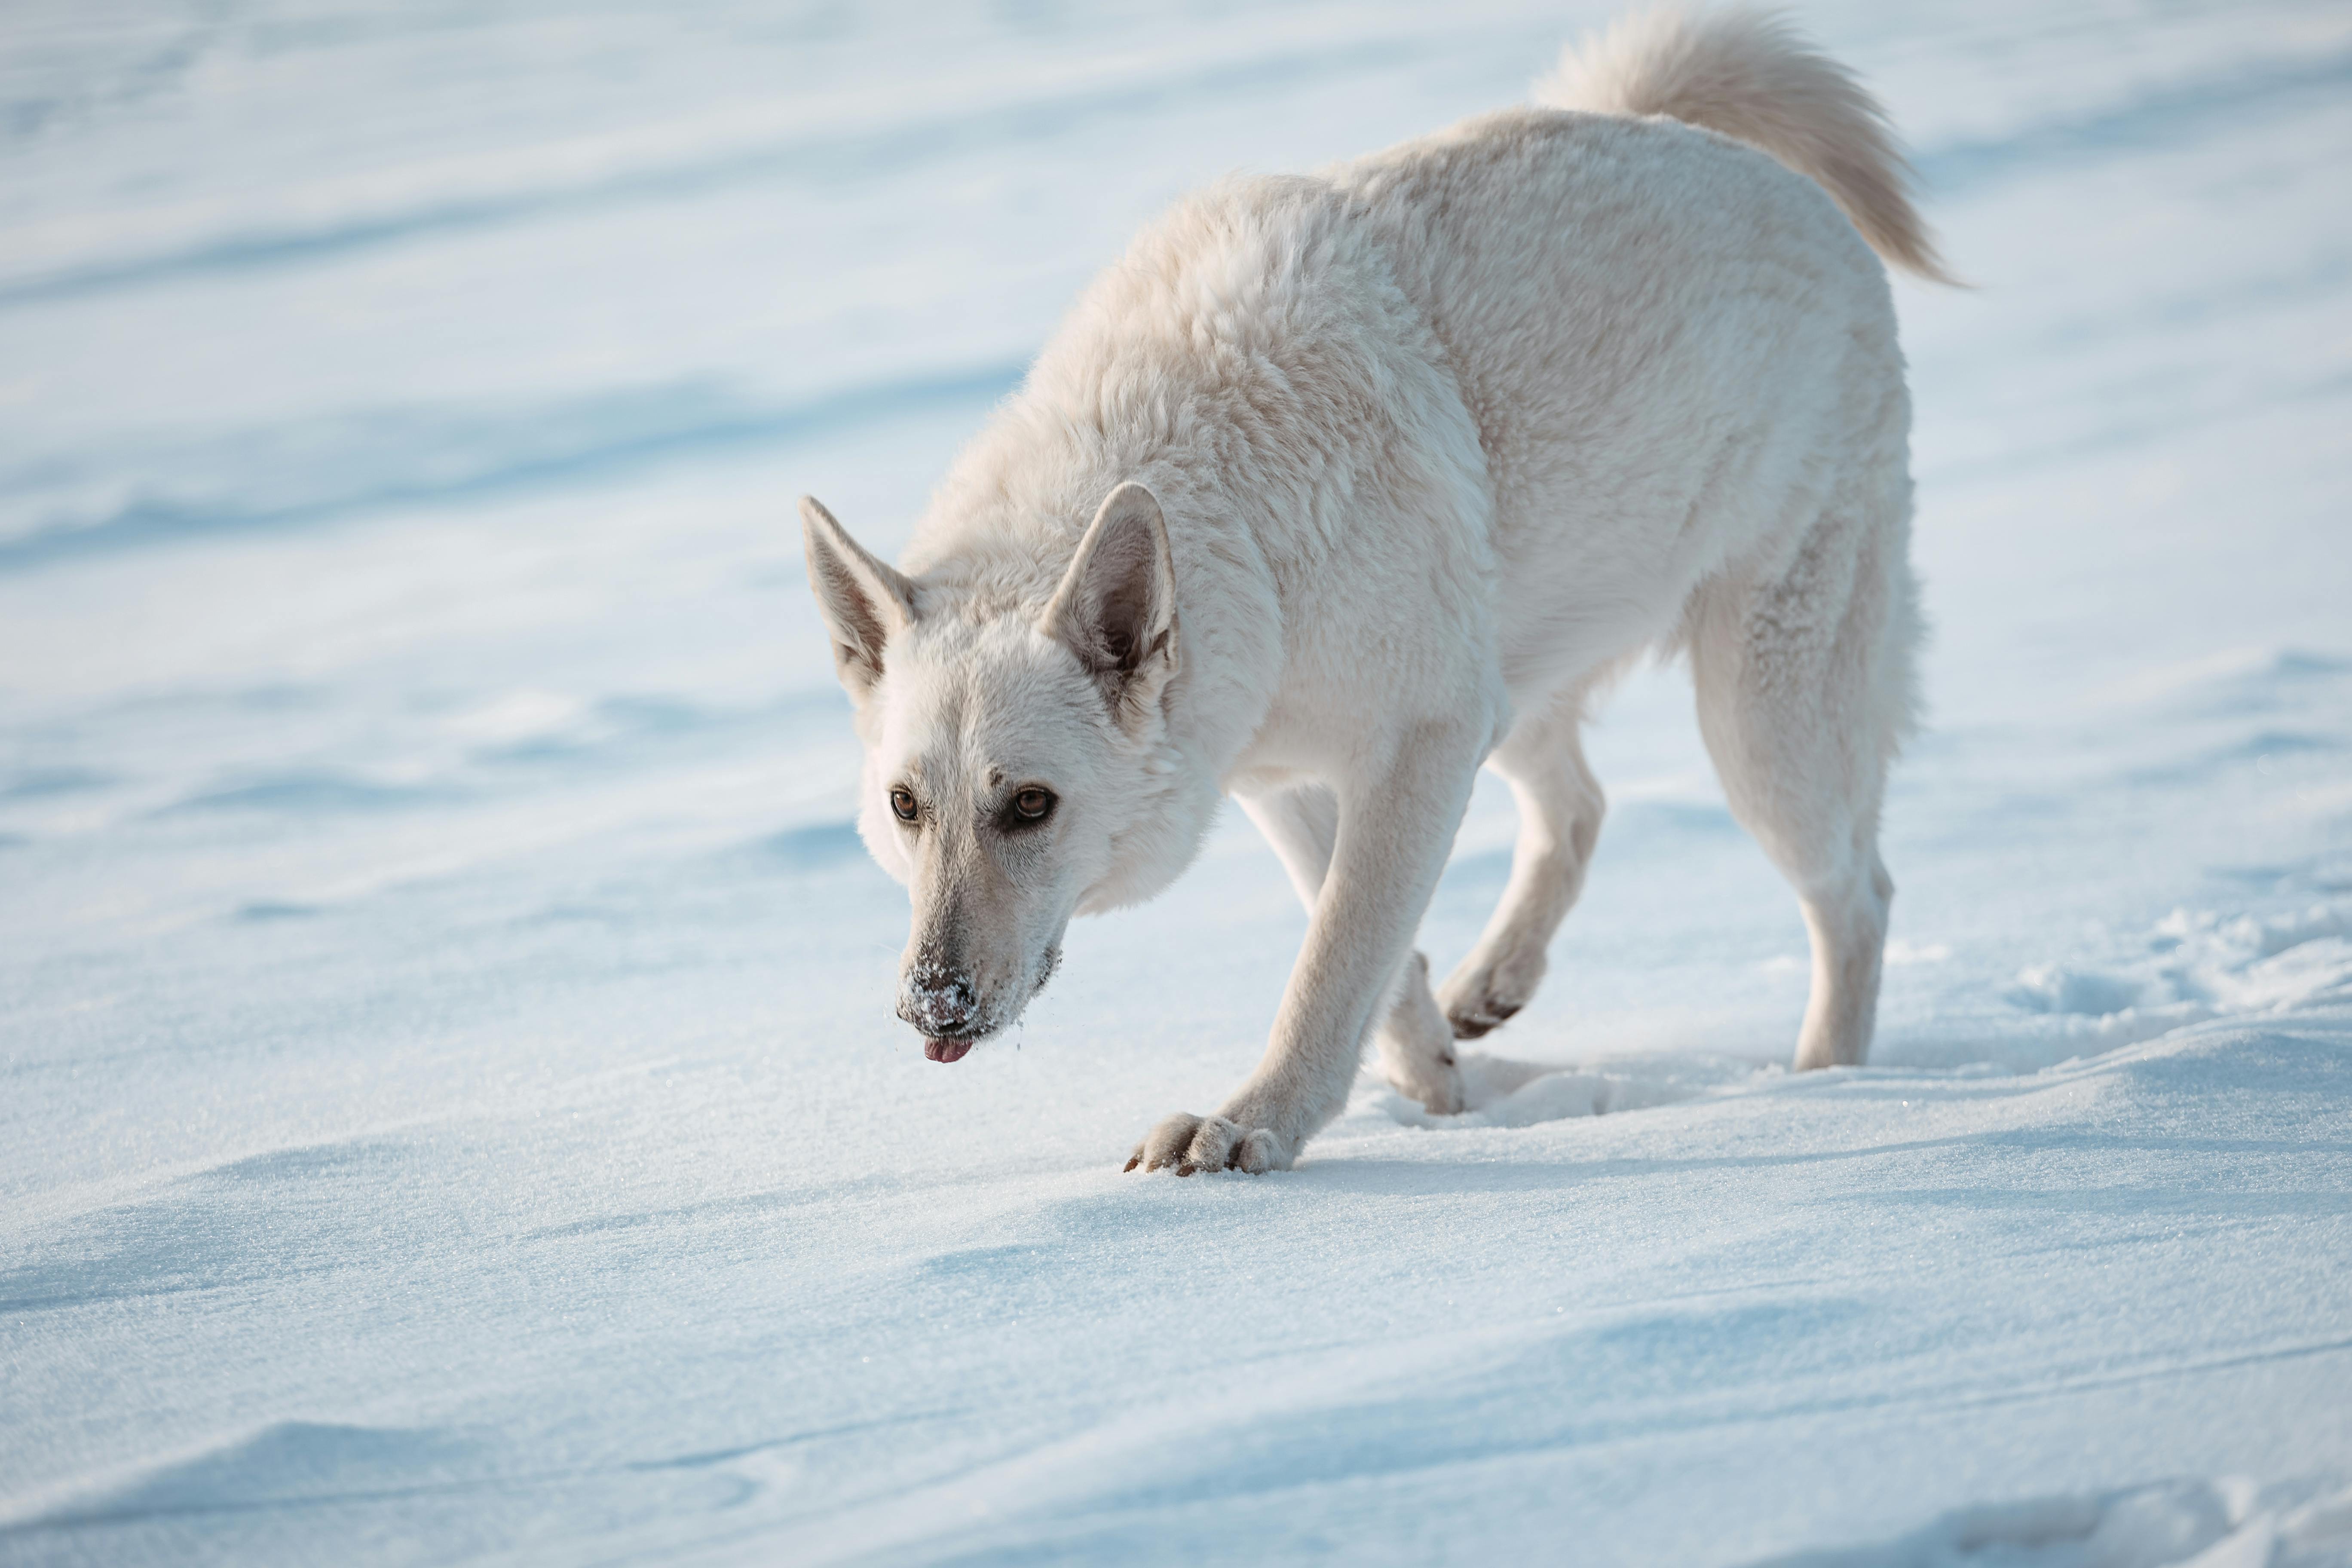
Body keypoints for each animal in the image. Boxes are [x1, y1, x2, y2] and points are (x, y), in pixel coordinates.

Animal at [799, 6, 1938, 1170]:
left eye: (1030, 805)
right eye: (904, 806)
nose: (930, 1005)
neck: (1231, 508)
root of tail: (1714, 147)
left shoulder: (1416, 743)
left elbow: (1332, 962)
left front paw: (1249, 1128)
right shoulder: (1290, 774)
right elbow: (1361, 949)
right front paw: (1429, 1081)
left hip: (1761, 724)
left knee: (1857, 894)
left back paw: (1826, 1086)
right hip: (1514, 685)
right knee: (1580, 806)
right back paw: (1495, 985)